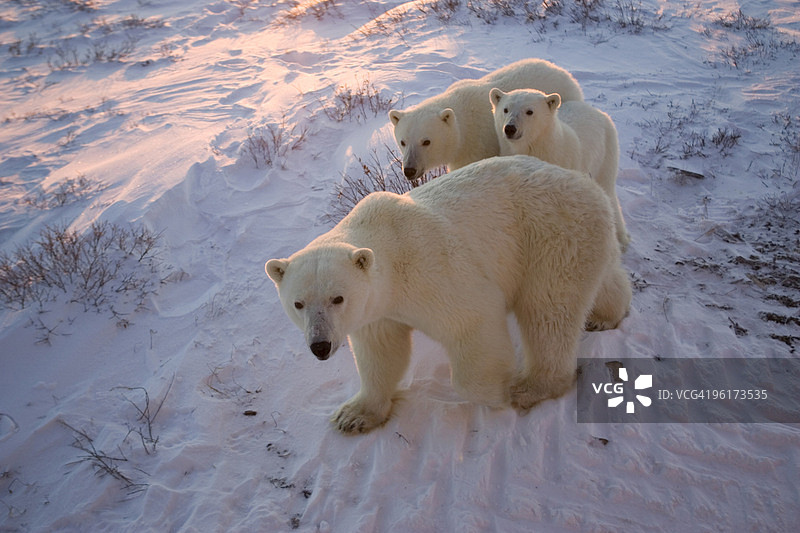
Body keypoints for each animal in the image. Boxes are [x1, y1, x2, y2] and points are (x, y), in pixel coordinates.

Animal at [265, 156, 632, 434]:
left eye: (337, 298)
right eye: (298, 304)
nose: (320, 346)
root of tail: (587, 185)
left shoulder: (430, 268)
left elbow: (472, 320)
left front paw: (498, 391)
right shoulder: (377, 308)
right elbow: (380, 351)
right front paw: (354, 415)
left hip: (549, 237)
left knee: (548, 310)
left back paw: (530, 386)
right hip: (580, 238)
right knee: (600, 279)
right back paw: (606, 315)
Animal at [490, 87, 631, 250]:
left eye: (529, 111)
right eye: (505, 109)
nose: (510, 128)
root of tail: (596, 110)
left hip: (606, 151)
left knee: (608, 187)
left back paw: (622, 237)